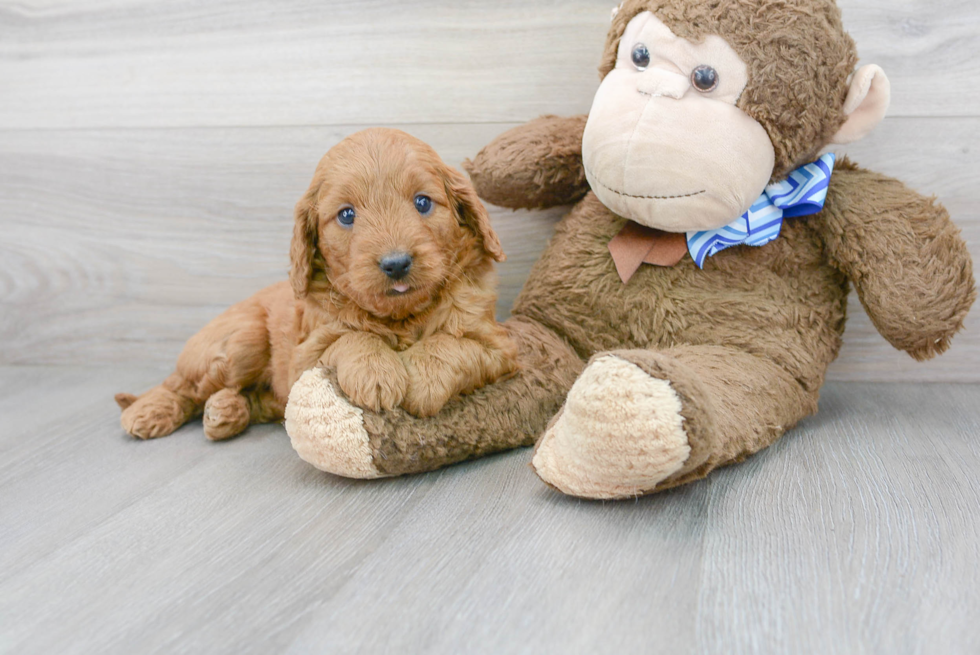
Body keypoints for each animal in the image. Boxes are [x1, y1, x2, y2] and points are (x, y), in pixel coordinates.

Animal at [118, 128, 520, 440]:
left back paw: (225, 412)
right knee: (179, 385)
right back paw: (148, 412)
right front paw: (376, 373)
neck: (400, 317)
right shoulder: (304, 357)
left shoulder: (499, 347)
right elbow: (352, 338)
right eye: (346, 215)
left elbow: (452, 344)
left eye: (423, 202)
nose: (396, 264)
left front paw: (422, 380)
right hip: (241, 341)